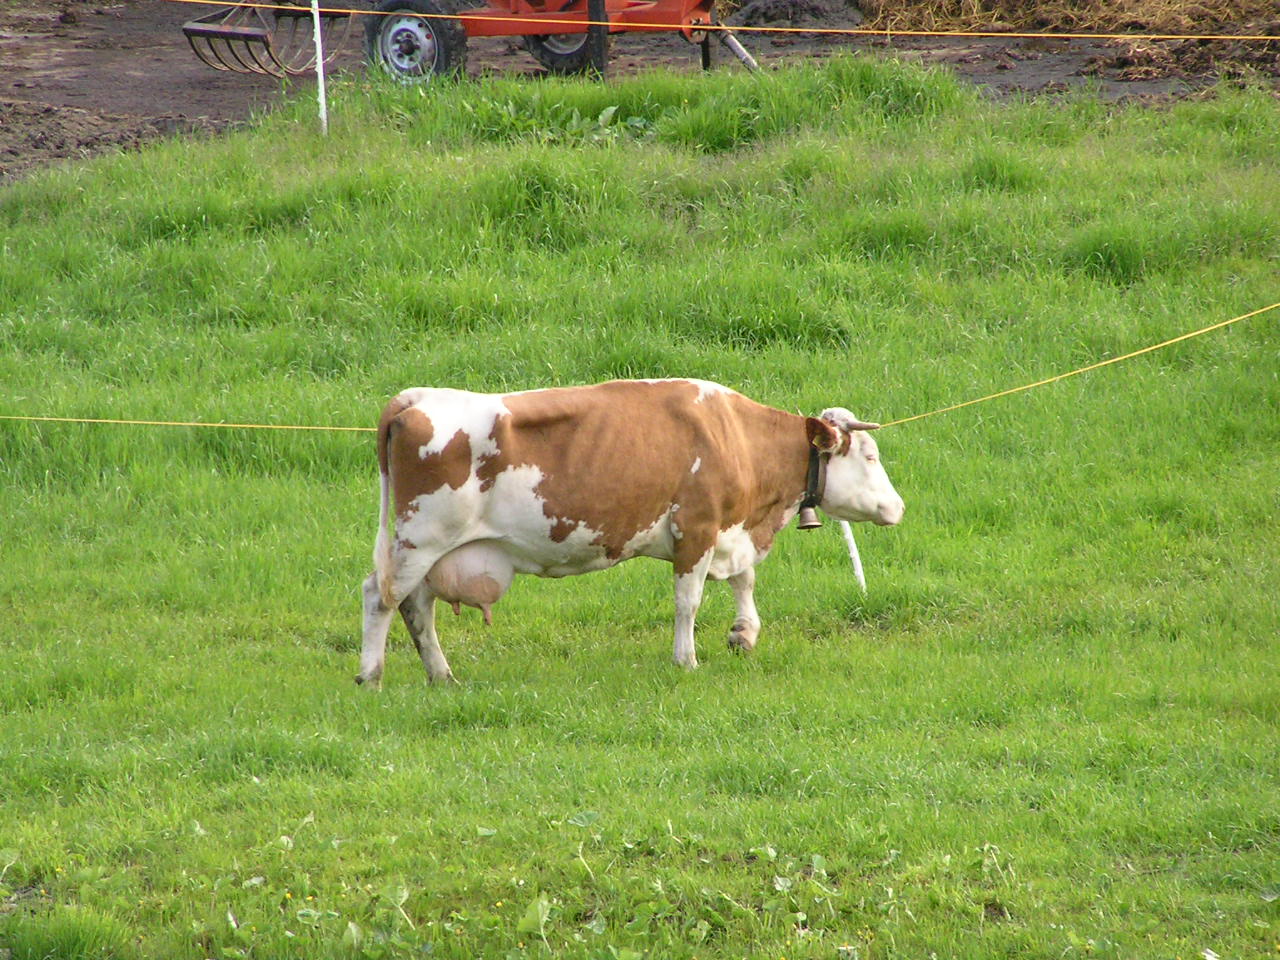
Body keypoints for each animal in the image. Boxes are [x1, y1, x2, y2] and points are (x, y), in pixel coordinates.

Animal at [357, 378, 903, 687]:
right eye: (870, 456)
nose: (898, 507)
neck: (731, 435)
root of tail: (415, 398)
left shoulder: (730, 531)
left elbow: (743, 579)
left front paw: (744, 632)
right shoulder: (697, 529)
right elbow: (689, 601)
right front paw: (687, 660)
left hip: (428, 550)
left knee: (416, 606)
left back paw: (441, 674)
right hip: (419, 538)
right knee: (381, 596)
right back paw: (371, 674)